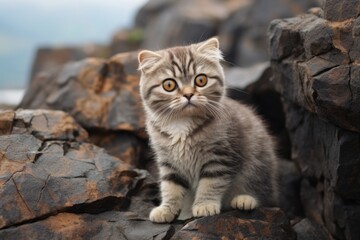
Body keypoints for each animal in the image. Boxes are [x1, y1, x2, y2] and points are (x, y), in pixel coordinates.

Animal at [138, 37, 278, 223]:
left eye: (201, 80)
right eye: (169, 84)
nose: (188, 94)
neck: (181, 123)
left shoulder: (219, 157)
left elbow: (210, 183)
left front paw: (205, 205)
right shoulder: (168, 162)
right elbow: (170, 186)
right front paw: (166, 209)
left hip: (259, 166)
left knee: (264, 193)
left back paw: (245, 199)